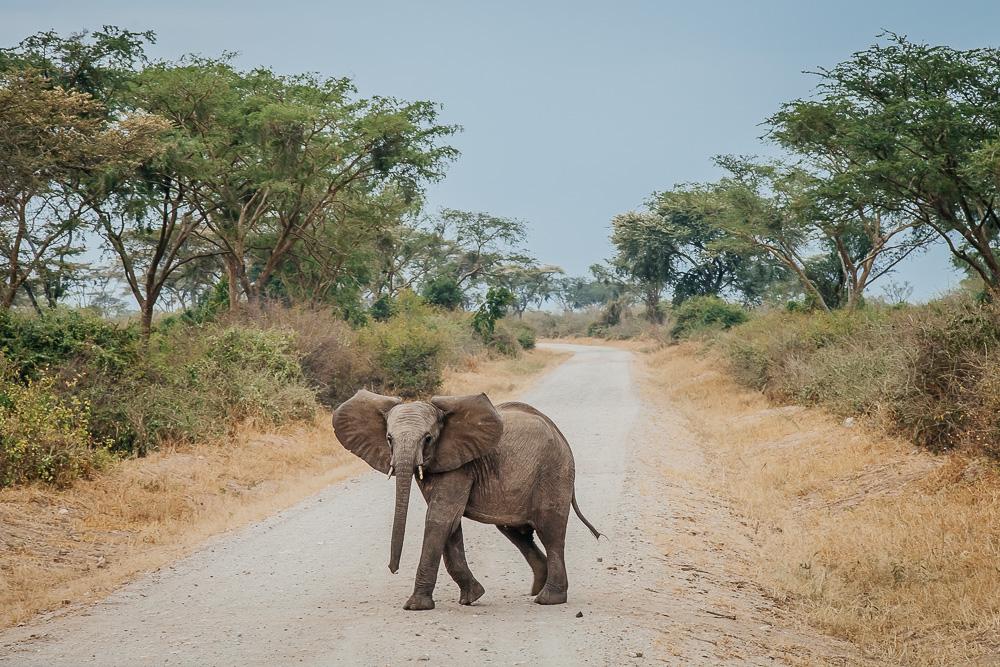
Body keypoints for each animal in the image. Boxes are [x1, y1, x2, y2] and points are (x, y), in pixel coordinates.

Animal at [334, 388, 600, 612]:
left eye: (428, 438)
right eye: (389, 439)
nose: (393, 569)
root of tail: (561, 436)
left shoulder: (459, 465)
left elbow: (439, 519)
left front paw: (416, 606)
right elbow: (450, 525)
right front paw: (472, 597)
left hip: (554, 472)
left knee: (550, 531)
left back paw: (548, 599)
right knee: (517, 532)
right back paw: (537, 588)